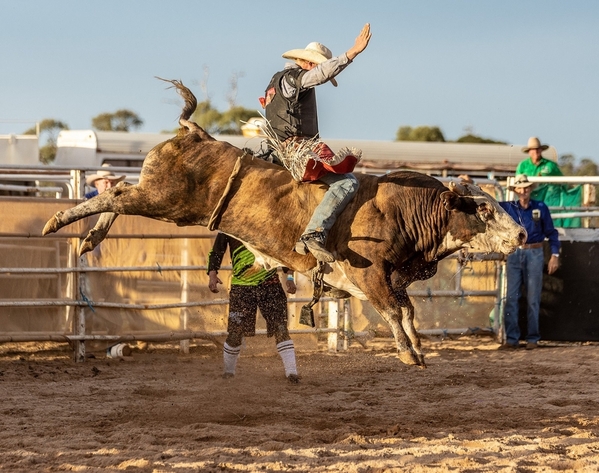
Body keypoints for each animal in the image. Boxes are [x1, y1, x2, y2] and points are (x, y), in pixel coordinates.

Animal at [42, 79, 524, 366]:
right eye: (484, 210)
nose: (521, 233)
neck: (403, 210)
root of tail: (196, 133)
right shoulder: (368, 274)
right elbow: (391, 309)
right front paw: (407, 353)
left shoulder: (388, 279)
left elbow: (406, 309)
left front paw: (419, 348)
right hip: (167, 200)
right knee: (116, 194)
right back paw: (58, 221)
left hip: (162, 199)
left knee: (119, 193)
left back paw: (89, 238)